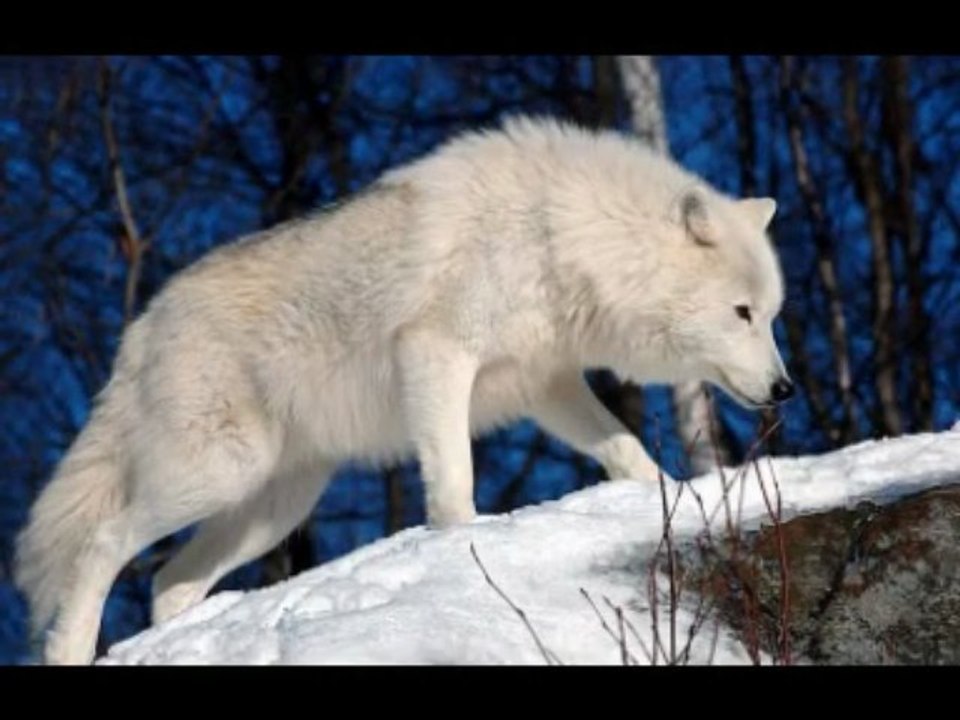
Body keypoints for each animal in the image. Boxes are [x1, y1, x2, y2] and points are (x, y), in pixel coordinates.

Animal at [15, 116, 793, 664]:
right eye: (742, 314)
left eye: (771, 315)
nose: (785, 389)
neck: (558, 232)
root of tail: (144, 324)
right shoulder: (438, 353)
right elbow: (455, 483)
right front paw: (462, 549)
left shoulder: (547, 383)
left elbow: (628, 452)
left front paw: (671, 499)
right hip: (215, 473)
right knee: (102, 544)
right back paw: (68, 649)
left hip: (274, 508)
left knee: (167, 583)